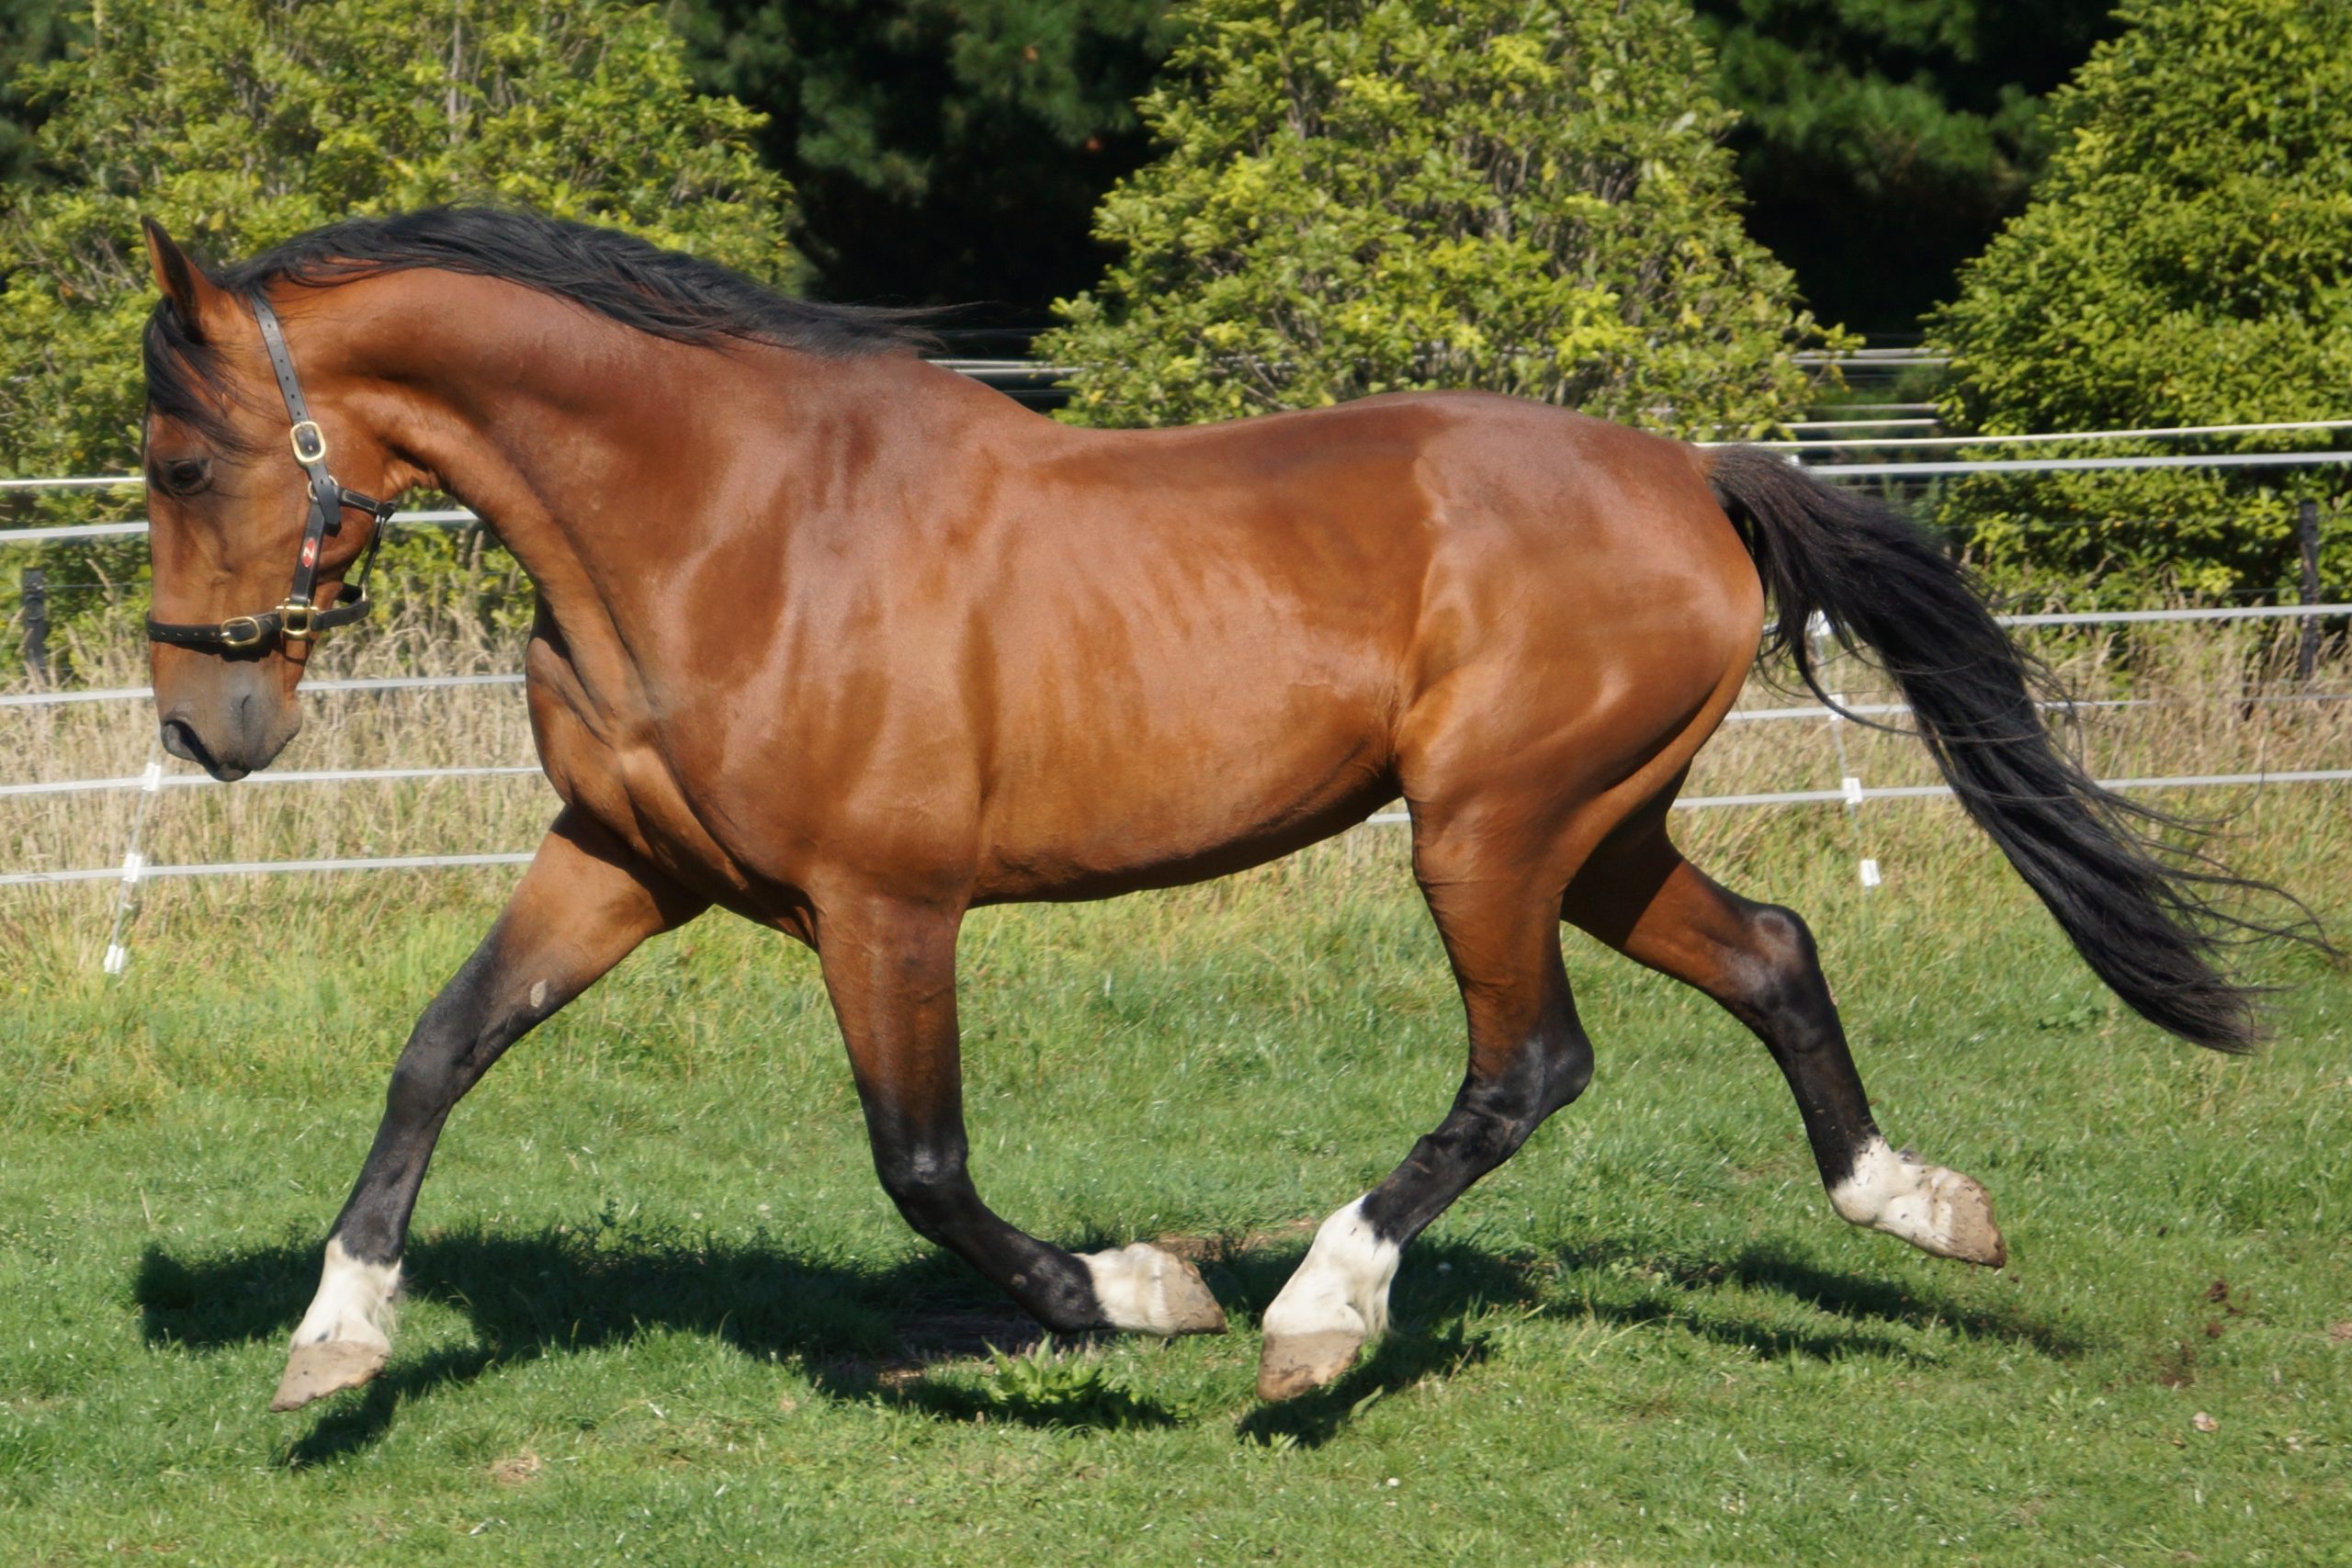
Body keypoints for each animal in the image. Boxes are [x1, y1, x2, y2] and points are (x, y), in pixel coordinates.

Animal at [134, 208, 2293, 1413]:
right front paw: (335, 1339)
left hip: (1486, 830)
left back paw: (1319, 1313)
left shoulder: (884, 902)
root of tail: (1690, 473)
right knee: (1769, 953)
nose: (203, 721)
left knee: (1532, 1064)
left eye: (181, 451)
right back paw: (1916, 1206)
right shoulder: (622, 864)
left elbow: (922, 1164)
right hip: (1591, 831)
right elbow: (436, 1051)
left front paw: (1141, 1293)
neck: (732, 524)